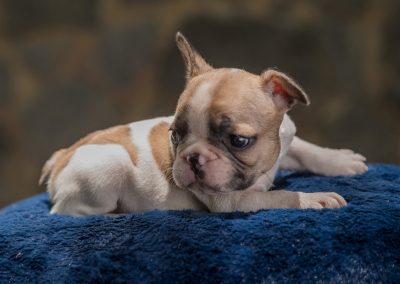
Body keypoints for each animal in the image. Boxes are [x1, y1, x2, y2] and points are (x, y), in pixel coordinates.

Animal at [39, 32, 368, 215]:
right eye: (174, 135)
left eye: (238, 141)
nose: (192, 157)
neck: (264, 164)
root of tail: (60, 158)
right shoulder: (233, 201)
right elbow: (281, 197)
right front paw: (315, 198)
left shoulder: (286, 135)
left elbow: (306, 149)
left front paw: (340, 161)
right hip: (107, 169)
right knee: (67, 212)